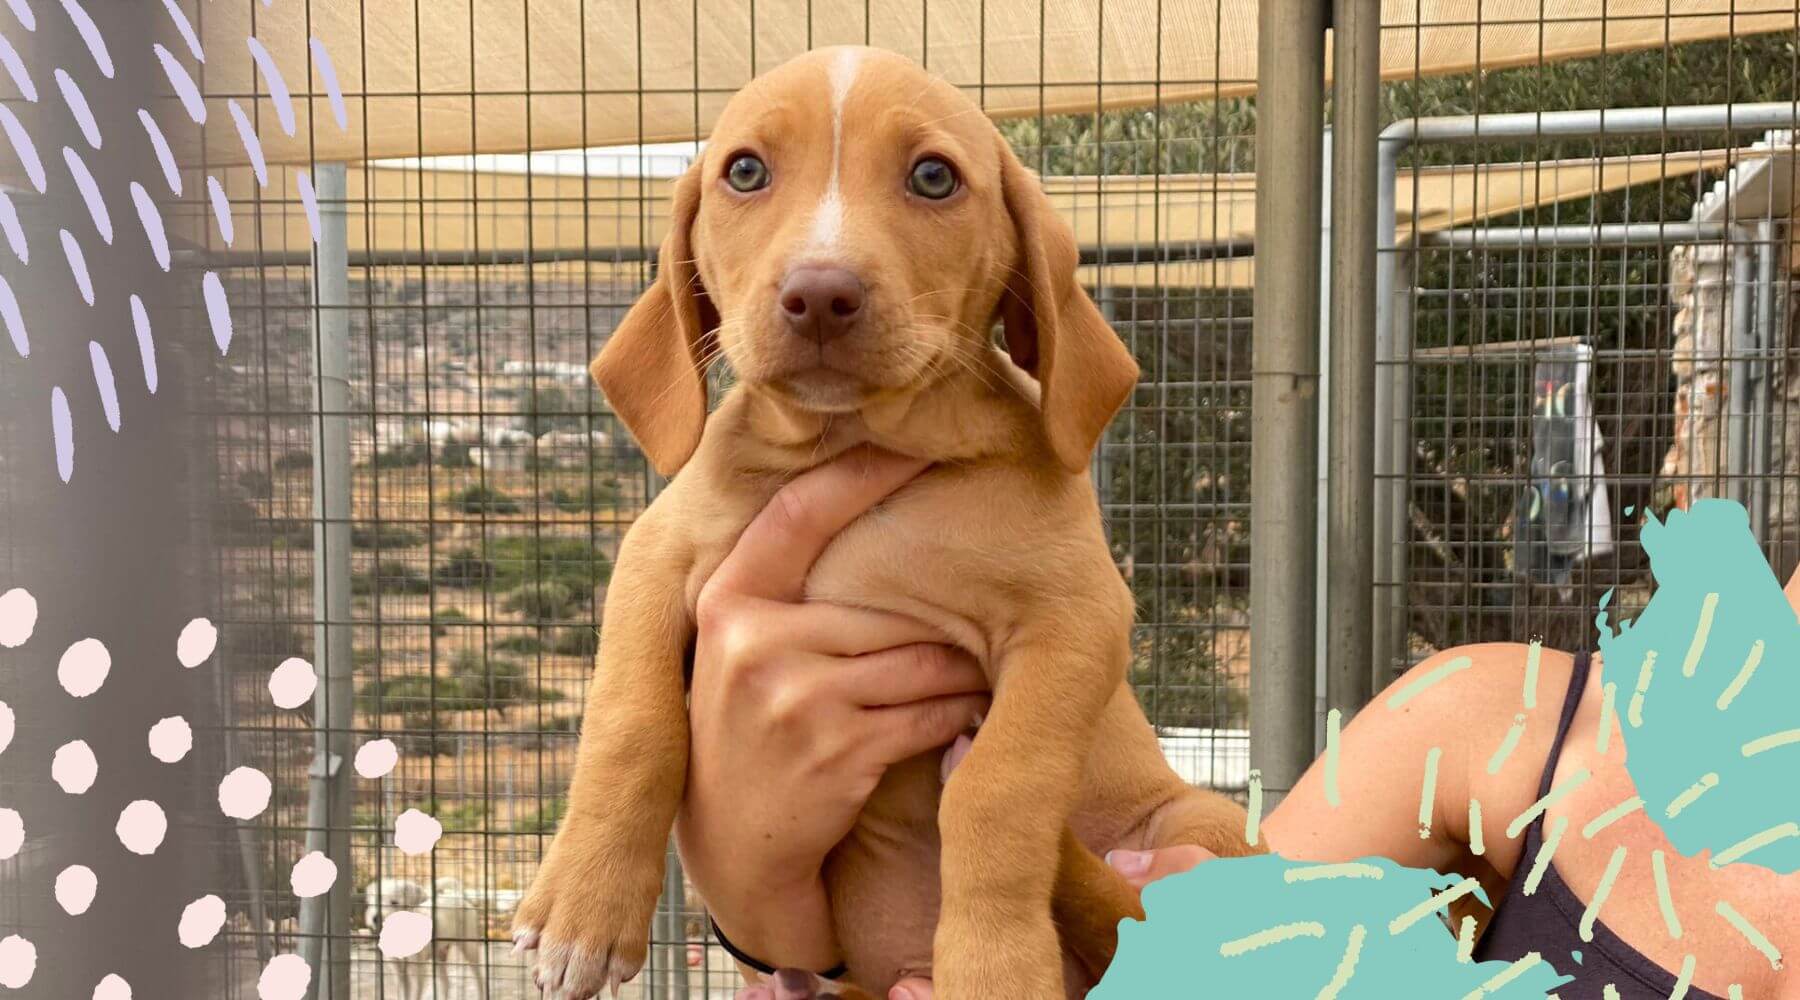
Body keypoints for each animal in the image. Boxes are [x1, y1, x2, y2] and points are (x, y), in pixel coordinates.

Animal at [361, 874, 489, 1000]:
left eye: (394, 902)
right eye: (374, 901)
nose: (375, 918)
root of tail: (457, 897)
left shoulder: (418, 971)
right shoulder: (399, 971)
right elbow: (403, 993)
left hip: (470, 948)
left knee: (480, 979)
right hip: (438, 956)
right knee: (446, 982)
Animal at [514, 46, 1260, 1000]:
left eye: (934, 177)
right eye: (744, 171)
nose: (819, 294)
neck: (851, 444)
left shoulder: (1079, 620)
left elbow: (998, 787)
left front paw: (994, 963)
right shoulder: (654, 558)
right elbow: (629, 721)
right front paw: (582, 905)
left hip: (1199, 821)